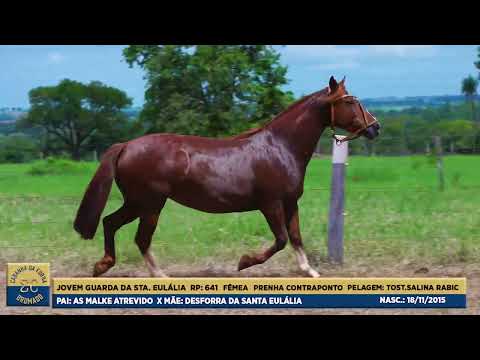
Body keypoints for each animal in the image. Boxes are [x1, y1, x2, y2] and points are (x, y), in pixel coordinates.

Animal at [75, 76, 380, 278]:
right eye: (349, 101)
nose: (375, 127)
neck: (280, 147)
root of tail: (126, 145)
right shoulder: (270, 204)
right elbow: (281, 239)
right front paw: (244, 262)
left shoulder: (291, 202)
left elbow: (295, 237)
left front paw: (309, 271)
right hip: (149, 204)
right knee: (139, 238)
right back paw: (158, 275)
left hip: (138, 203)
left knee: (110, 222)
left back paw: (102, 265)